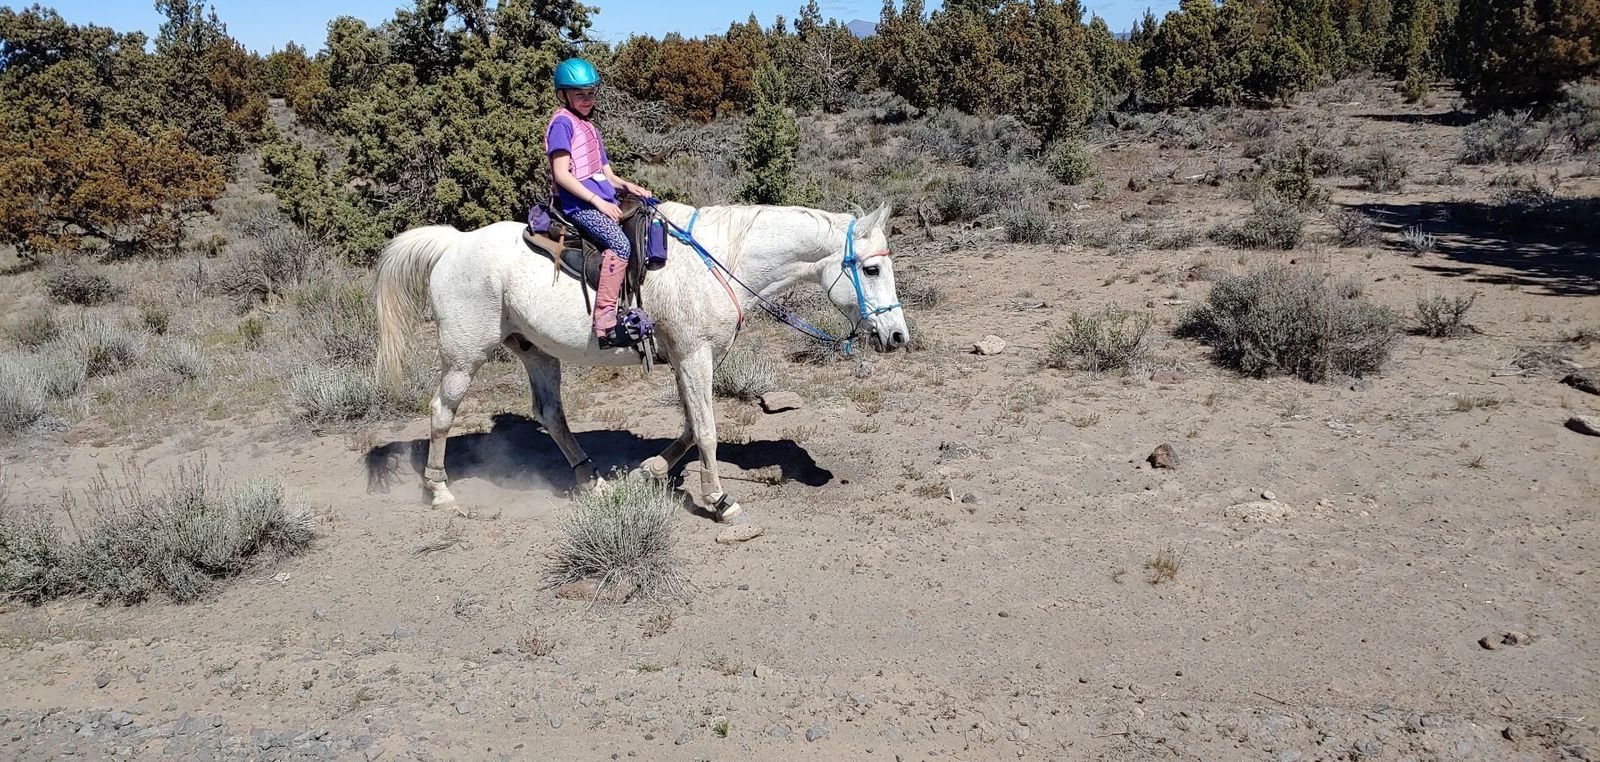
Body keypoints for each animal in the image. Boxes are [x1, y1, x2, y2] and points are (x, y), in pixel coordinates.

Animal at [373, 200, 909, 521]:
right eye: (871, 269)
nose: (898, 336)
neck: (718, 261)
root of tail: (455, 243)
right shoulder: (694, 355)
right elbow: (706, 429)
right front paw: (719, 500)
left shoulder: (690, 358)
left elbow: (691, 425)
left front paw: (647, 470)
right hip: (464, 356)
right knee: (442, 412)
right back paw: (439, 491)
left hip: (536, 351)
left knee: (551, 414)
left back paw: (590, 480)